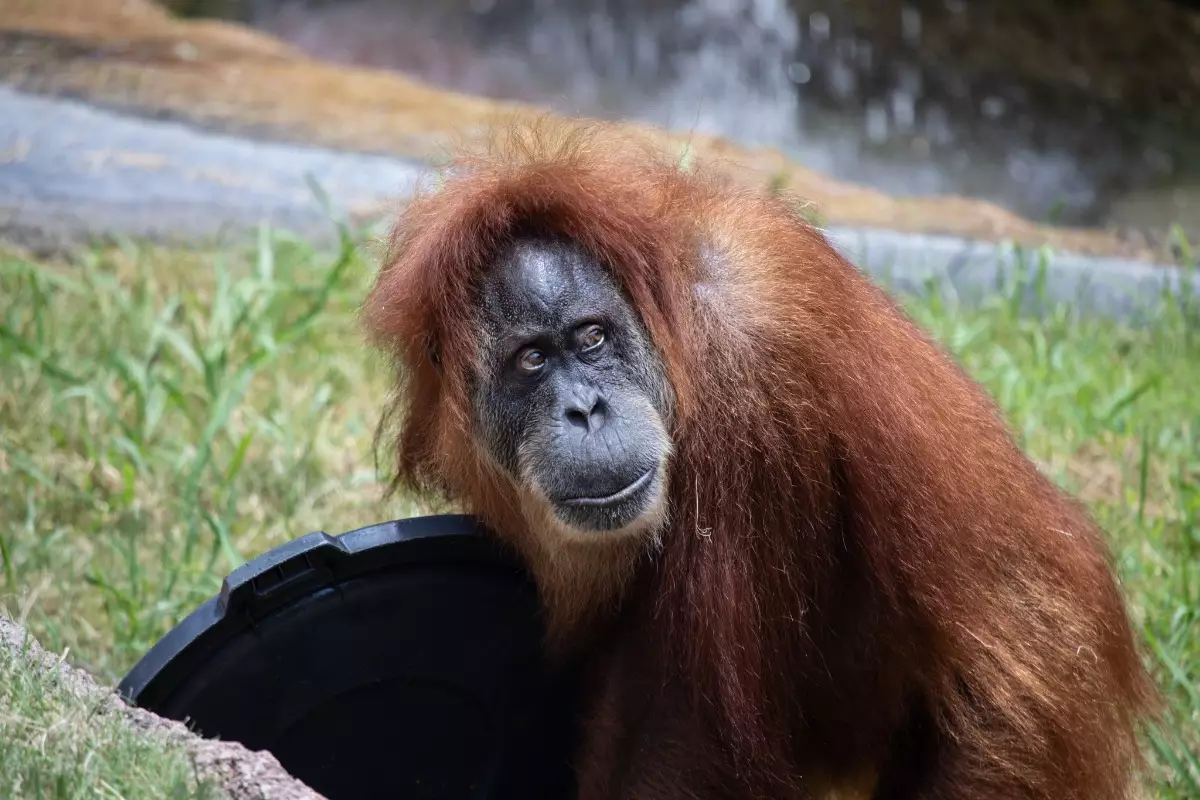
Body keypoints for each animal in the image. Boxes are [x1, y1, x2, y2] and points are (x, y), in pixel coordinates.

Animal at [361, 122, 1157, 800]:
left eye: (590, 337)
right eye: (531, 360)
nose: (585, 410)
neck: (671, 337)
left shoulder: (747, 374)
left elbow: (690, 717)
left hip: (1024, 732)